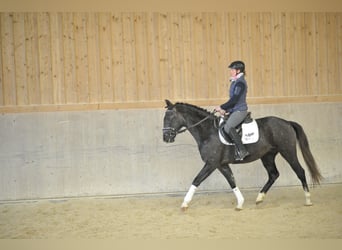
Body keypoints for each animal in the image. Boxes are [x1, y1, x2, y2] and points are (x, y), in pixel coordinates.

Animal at [162, 99, 322, 211]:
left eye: (170, 117)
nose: (166, 138)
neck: (208, 131)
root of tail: (287, 122)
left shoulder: (211, 164)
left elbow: (196, 180)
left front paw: (184, 204)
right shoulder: (221, 164)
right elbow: (232, 181)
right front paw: (240, 203)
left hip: (287, 151)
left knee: (300, 171)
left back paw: (308, 200)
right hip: (267, 156)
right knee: (273, 174)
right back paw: (259, 198)